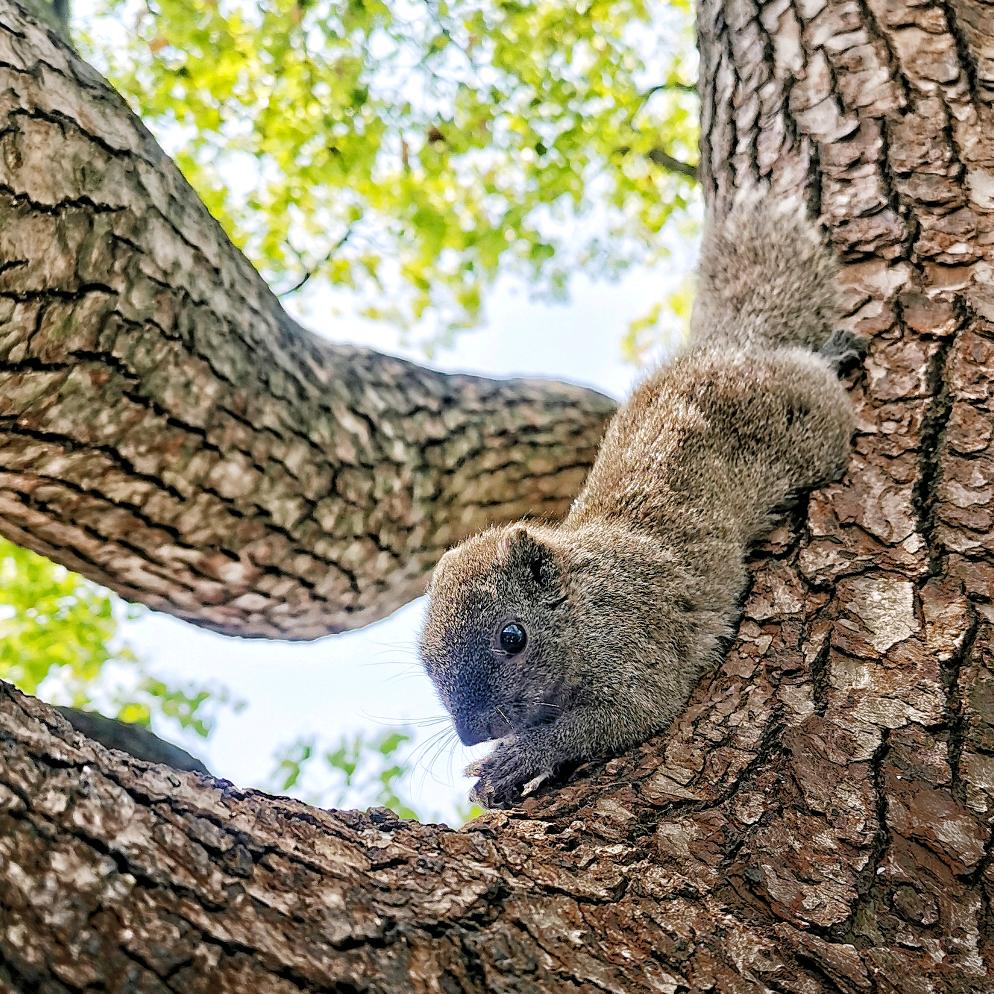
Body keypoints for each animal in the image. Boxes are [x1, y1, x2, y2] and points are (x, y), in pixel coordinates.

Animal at [416, 192, 852, 808]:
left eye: (512, 637)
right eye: (427, 664)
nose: (472, 733)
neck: (583, 602)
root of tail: (729, 346)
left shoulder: (635, 643)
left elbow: (625, 713)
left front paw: (517, 759)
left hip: (813, 426)